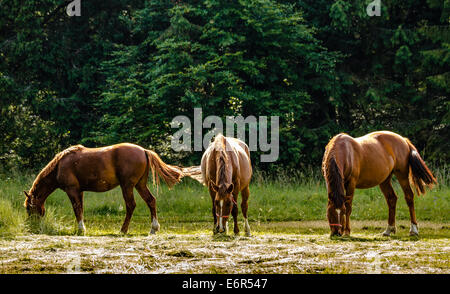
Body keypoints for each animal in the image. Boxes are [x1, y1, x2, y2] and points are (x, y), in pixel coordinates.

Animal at [23, 143, 183, 234]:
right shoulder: (79, 192)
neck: (59, 166)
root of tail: (144, 150)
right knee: (151, 201)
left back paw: (123, 230)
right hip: (140, 185)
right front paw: (81, 228)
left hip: (127, 186)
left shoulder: (72, 190)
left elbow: (76, 209)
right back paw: (153, 229)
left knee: (131, 205)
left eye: (29, 208)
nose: (31, 226)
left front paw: (81, 230)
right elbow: (80, 209)